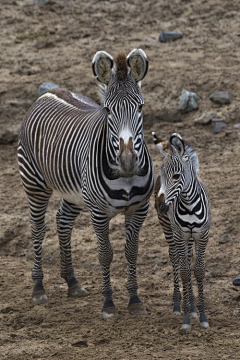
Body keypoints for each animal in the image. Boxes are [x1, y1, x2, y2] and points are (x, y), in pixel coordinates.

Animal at [17, 47, 155, 318]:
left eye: (140, 107)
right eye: (108, 110)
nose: (127, 161)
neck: (125, 177)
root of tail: (49, 92)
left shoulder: (139, 210)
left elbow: (131, 252)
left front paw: (134, 300)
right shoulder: (99, 213)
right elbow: (105, 254)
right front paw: (109, 304)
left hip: (74, 193)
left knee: (63, 222)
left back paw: (72, 282)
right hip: (35, 184)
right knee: (38, 229)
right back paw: (38, 288)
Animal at [152, 131, 210, 330]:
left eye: (177, 176)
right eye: (162, 174)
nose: (160, 206)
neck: (190, 205)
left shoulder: (202, 236)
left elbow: (198, 270)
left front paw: (201, 315)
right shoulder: (179, 235)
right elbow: (184, 272)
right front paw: (186, 318)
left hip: (189, 238)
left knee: (188, 257)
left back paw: (192, 306)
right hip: (168, 229)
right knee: (175, 258)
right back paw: (179, 303)